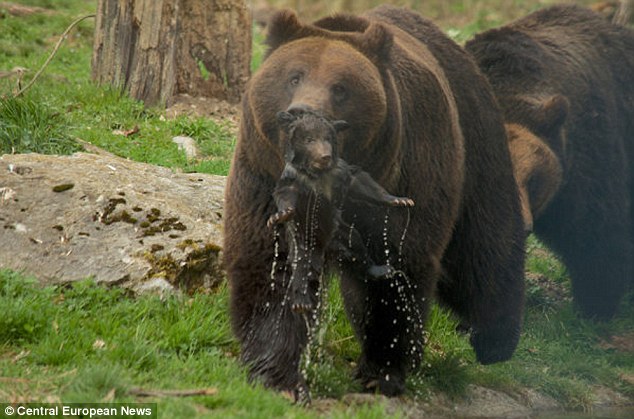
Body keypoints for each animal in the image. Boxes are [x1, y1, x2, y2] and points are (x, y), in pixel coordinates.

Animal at [222, 4, 524, 400]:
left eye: (340, 88)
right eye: (294, 76)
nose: (302, 112)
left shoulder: (404, 175)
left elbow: (396, 270)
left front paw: (382, 370)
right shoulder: (262, 176)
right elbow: (272, 264)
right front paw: (276, 374)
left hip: (475, 137)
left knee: (486, 241)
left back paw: (495, 337)